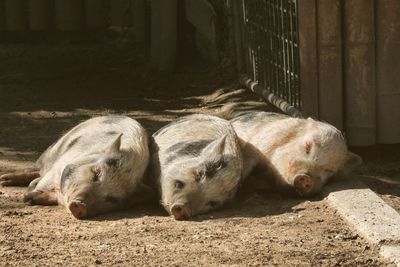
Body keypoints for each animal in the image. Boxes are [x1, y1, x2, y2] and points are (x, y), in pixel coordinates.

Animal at [0, 116, 150, 219]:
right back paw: (4, 180)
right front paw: (28, 196)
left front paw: (32, 197)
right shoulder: (59, 167)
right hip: (53, 150)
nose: (80, 205)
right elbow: (43, 183)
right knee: (37, 169)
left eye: (112, 199)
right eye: (96, 173)